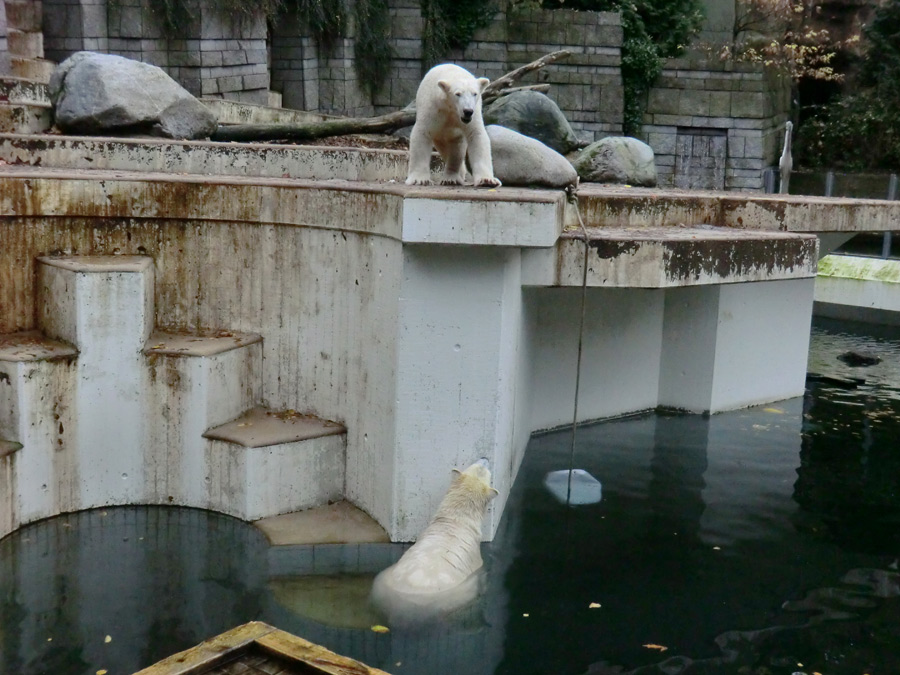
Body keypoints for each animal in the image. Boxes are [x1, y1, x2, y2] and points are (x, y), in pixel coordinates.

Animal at [370, 462, 500, 624]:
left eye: (478, 465)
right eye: (484, 469)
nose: (484, 459)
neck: (454, 521)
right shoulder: (475, 557)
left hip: (382, 581)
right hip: (454, 595)